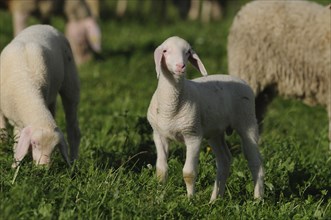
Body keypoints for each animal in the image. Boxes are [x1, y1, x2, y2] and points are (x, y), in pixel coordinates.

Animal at [0, 24, 80, 167]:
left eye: (54, 148)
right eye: (35, 143)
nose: (43, 168)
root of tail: (45, 25)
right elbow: (6, 133)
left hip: (71, 83)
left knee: (73, 129)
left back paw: (74, 162)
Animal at [148, 36, 264, 203]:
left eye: (188, 52)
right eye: (165, 51)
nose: (181, 66)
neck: (171, 106)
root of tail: (240, 80)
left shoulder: (193, 136)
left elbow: (189, 173)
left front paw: (190, 200)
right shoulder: (159, 135)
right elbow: (161, 171)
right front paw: (159, 198)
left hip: (247, 122)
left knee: (255, 161)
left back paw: (258, 199)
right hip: (215, 132)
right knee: (224, 160)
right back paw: (215, 200)